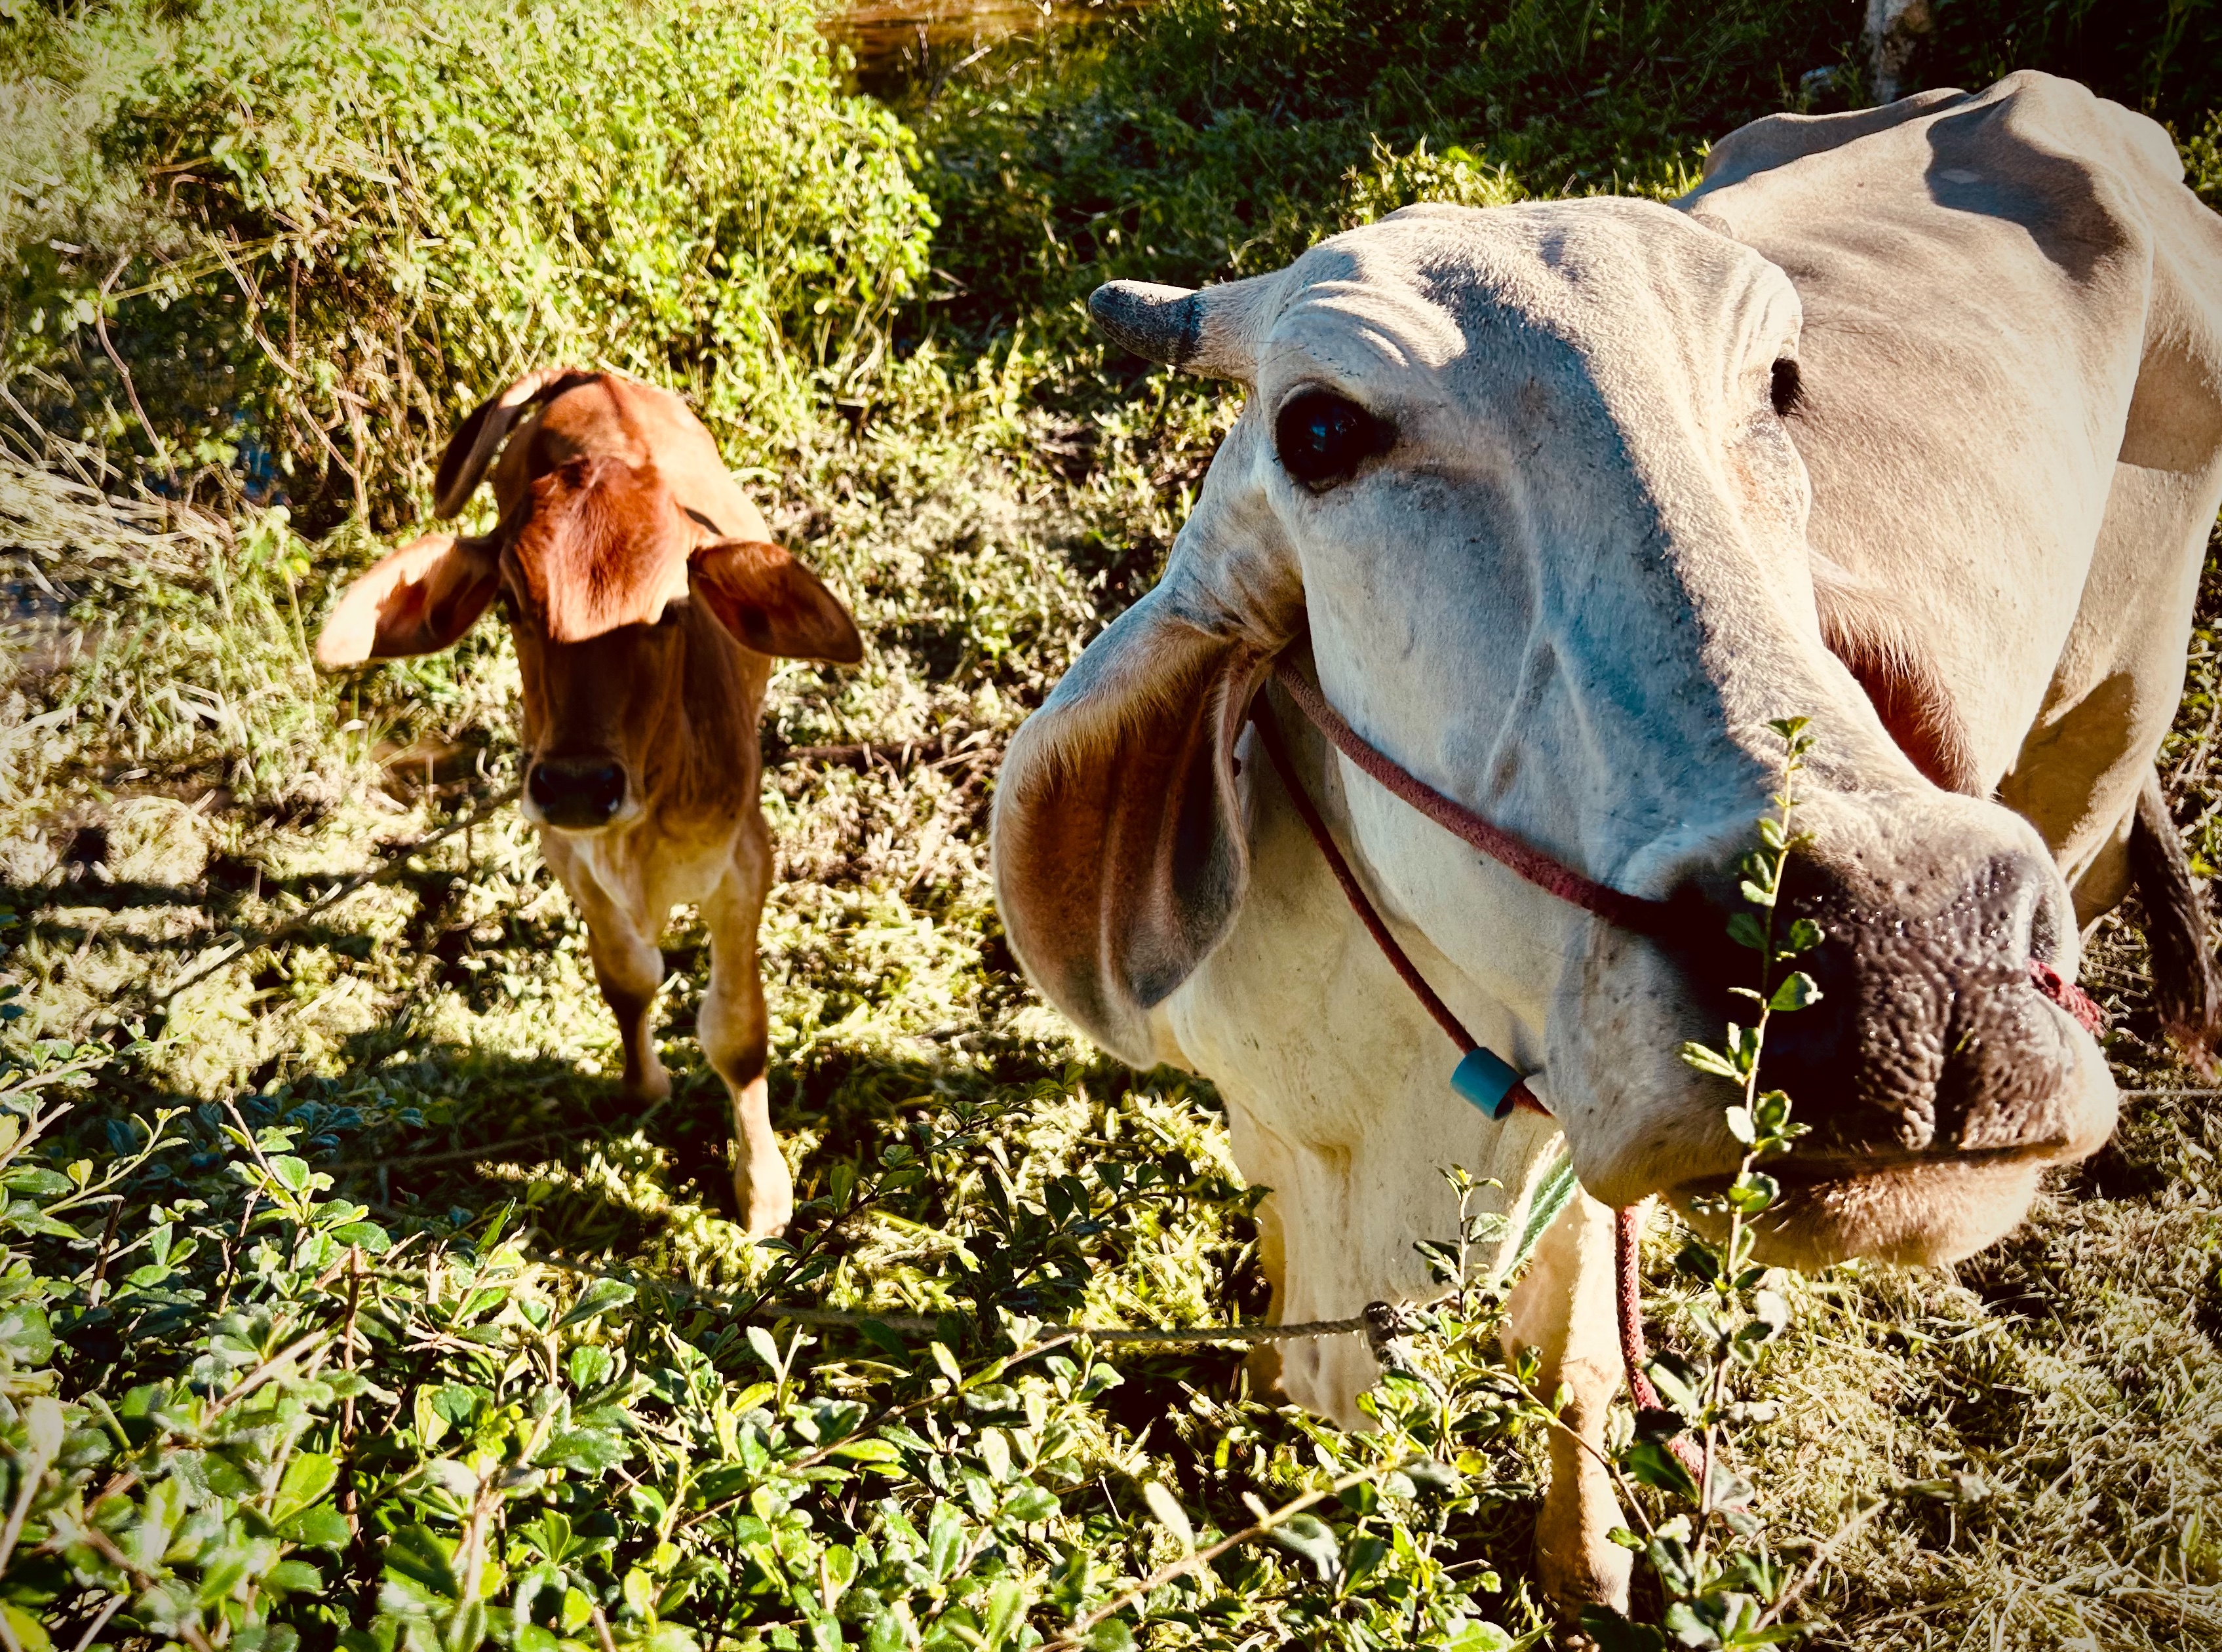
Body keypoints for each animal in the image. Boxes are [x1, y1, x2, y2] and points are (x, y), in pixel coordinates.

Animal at [317, 369, 863, 1237]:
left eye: (673, 607)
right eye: (511, 603)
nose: (578, 782)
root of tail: (594, 376)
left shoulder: (744, 864)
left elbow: (738, 1033)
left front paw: (763, 1192)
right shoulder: (569, 852)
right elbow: (628, 979)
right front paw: (644, 1090)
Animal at [991, 72, 2222, 1609]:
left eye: (1777, 386)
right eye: (1319, 431)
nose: (1914, 954)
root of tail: (2034, 92)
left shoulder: (1566, 1149)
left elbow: (1573, 1360)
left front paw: (1583, 1566)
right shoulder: (1267, 1118)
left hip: (2114, 713)